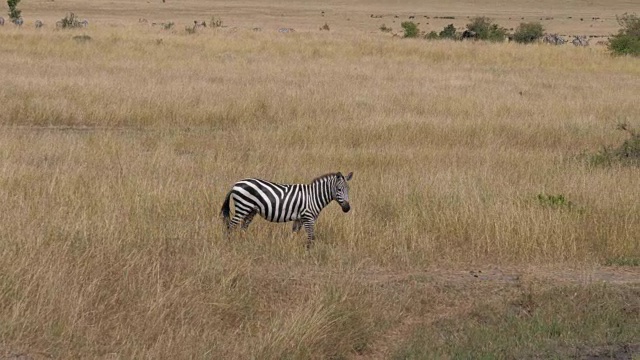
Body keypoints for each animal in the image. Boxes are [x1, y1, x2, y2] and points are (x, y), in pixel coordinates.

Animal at [219, 172, 350, 248]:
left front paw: (292, 247)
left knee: (243, 227)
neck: (313, 196)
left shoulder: (299, 218)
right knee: (231, 225)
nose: (347, 208)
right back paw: (228, 243)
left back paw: (244, 243)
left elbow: (294, 234)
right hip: (243, 206)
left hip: (251, 210)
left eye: (348, 189)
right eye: (339, 189)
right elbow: (311, 237)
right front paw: (309, 252)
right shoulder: (308, 217)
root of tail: (235, 184)